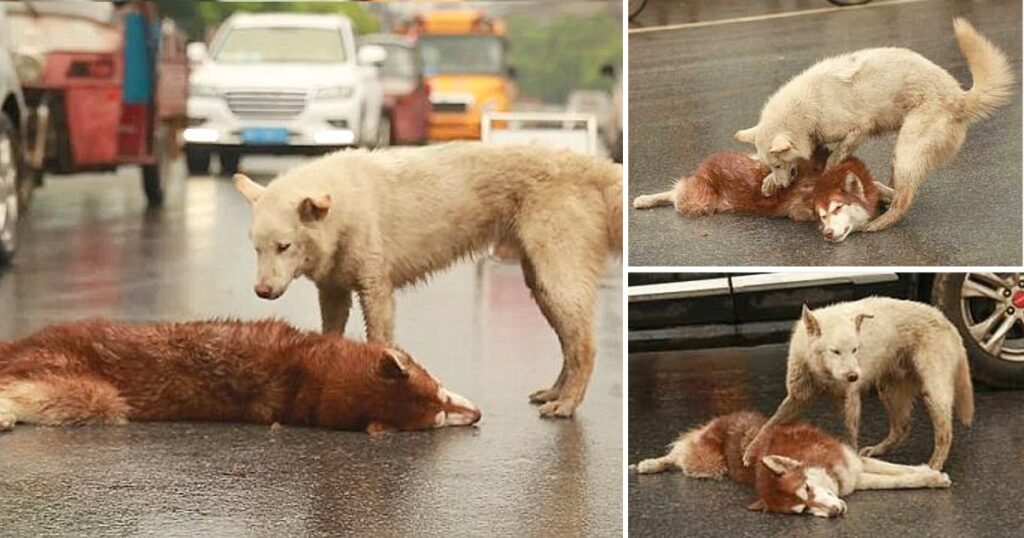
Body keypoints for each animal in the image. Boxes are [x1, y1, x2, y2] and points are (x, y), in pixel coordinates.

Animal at [237, 140, 622, 418]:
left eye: (284, 246)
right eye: (256, 248)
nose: (262, 291)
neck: (343, 208)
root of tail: (591, 165)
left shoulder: (376, 289)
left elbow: (379, 339)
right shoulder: (333, 289)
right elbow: (330, 335)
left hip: (558, 277)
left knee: (584, 346)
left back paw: (567, 404)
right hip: (540, 283)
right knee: (570, 344)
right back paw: (555, 392)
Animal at [634, 411, 946, 516]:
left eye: (807, 489)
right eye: (802, 510)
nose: (835, 513)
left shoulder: (855, 461)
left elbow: (900, 471)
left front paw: (931, 471)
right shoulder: (855, 478)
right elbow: (899, 479)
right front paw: (931, 477)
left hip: (705, 460)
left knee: (679, 451)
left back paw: (649, 463)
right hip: (707, 467)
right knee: (677, 456)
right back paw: (650, 464)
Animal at [745, 295, 974, 467]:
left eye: (855, 349)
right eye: (835, 351)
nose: (854, 376)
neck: (823, 374)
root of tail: (947, 321)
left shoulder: (851, 398)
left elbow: (850, 435)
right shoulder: (796, 398)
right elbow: (769, 424)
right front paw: (750, 452)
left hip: (933, 393)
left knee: (945, 434)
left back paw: (933, 466)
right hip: (889, 390)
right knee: (902, 428)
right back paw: (877, 450)